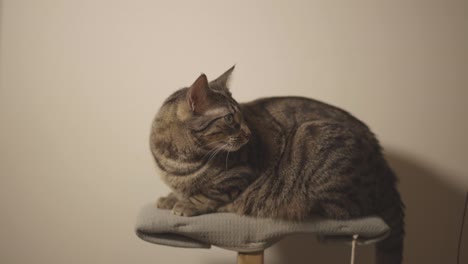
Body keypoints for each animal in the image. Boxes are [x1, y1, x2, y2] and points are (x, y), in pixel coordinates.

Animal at [151, 66, 406, 264]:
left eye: (243, 117)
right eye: (230, 119)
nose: (248, 133)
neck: (180, 161)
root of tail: (385, 168)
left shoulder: (240, 173)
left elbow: (210, 193)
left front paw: (187, 203)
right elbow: (182, 190)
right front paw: (170, 198)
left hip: (313, 144)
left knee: (339, 209)